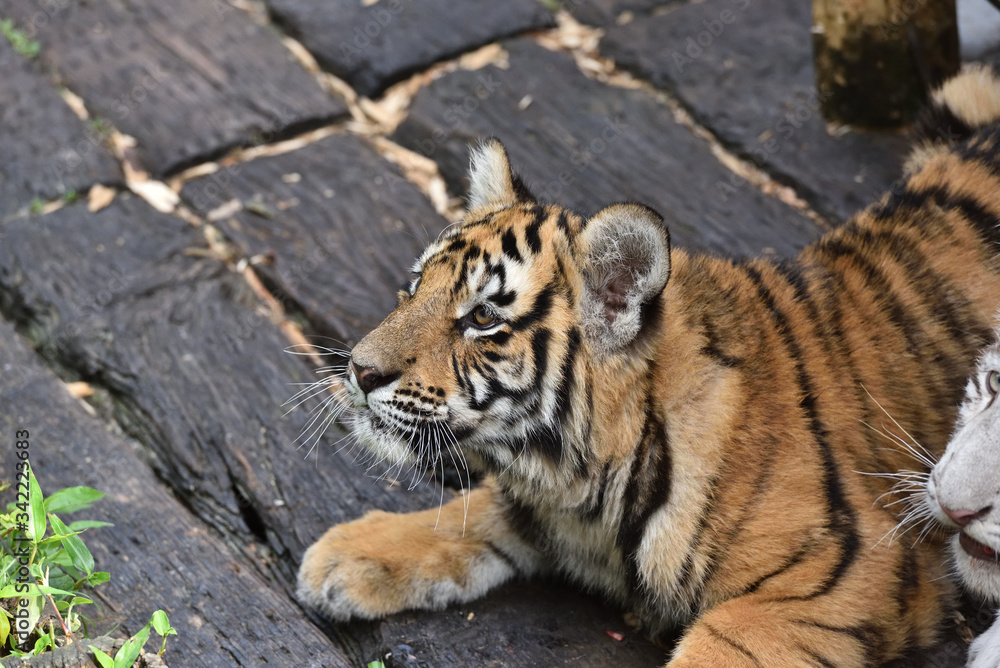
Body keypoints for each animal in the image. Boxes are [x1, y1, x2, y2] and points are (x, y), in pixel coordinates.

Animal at [297, 64, 1000, 667]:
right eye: (415, 286)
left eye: (484, 318)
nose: (358, 370)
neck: (588, 489)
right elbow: (475, 511)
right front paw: (350, 555)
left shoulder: (840, 574)